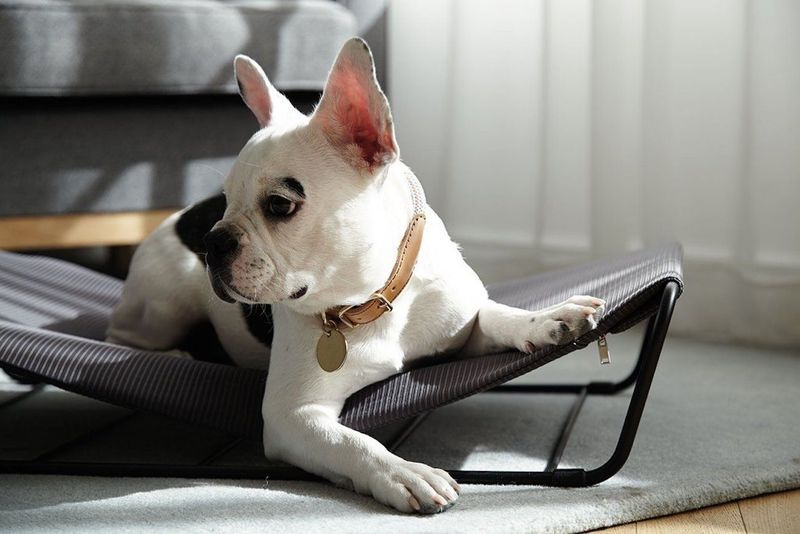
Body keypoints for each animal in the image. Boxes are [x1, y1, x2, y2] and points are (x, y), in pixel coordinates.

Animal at [108, 37, 608, 516]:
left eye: (279, 205)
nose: (213, 241)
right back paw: (172, 353)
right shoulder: (294, 415)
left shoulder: (461, 325)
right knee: (122, 336)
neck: (373, 297)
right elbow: (353, 441)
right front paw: (404, 472)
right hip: (163, 305)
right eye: (226, 200)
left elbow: (498, 314)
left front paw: (549, 317)